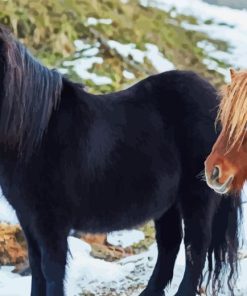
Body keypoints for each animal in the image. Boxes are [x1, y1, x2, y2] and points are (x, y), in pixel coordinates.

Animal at [0, 26, 241, 296]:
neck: (35, 135)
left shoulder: (50, 224)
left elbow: (51, 271)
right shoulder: (27, 219)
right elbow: (37, 270)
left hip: (197, 197)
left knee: (195, 249)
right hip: (168, 204)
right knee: (170, 245)